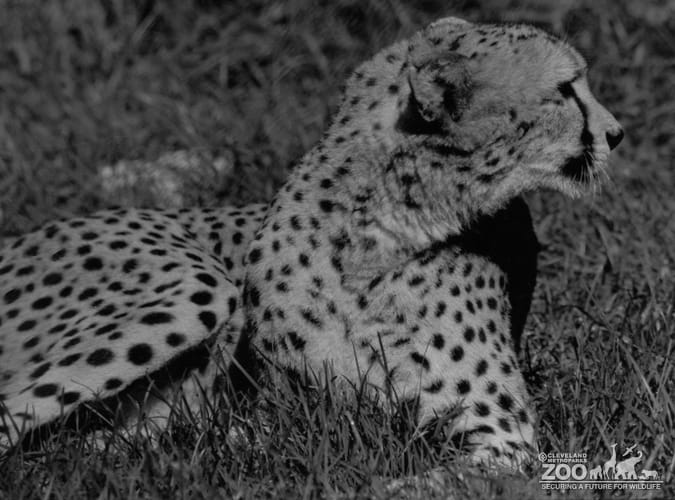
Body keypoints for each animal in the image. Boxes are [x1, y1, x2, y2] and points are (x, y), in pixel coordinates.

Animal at [0, 16, 623, 474]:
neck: (376, 237)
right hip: (194, 290)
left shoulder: (500, 436)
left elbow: (425, 479)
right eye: (567, 90)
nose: (616, 133)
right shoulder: (276, 416)